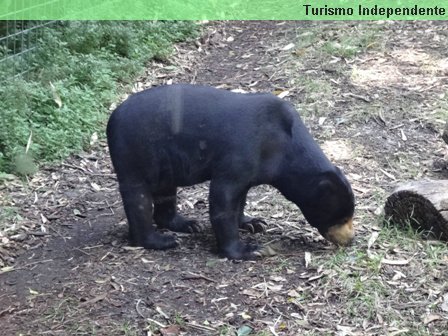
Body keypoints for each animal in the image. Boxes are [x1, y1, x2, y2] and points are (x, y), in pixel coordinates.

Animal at [107, 84, 356, 260]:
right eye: (341, 217)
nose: (350, 240)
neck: (284, 146)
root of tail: (112, 119)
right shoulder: (240, 153)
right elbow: (223, 198)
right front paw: (249, 250)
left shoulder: (252, 170)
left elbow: (241, 198)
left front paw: (252, 222)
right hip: (135, 153)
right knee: (138, 198)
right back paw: (160, 240)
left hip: (163, 162)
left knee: (165, 192)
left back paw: (188, 224)